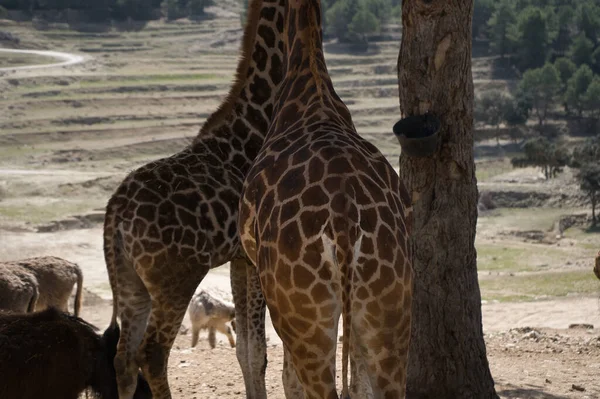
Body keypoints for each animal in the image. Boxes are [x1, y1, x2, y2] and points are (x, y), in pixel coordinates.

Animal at [103, 1, 286, 398]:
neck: (260, 117)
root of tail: (115, 217)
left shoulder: (239, 258)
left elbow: (247, 349)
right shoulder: (255, 255)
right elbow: (259, 349)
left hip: (129, 280)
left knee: (122, 358)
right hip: (175, 280)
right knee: (152, 354)